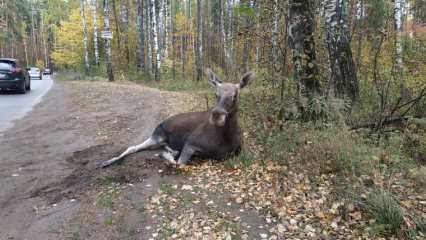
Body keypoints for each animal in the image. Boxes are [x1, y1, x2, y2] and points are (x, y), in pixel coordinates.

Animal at [100, 68, 253, 168]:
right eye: (216, 94)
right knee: (133, 147)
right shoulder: (190, 143)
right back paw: (106, 162)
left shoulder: (239, 150)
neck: (225, 139)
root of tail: (160, 124)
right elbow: (179, 164)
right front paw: (165, 156)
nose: (217, 115)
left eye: (235, 95)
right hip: (157, 136)